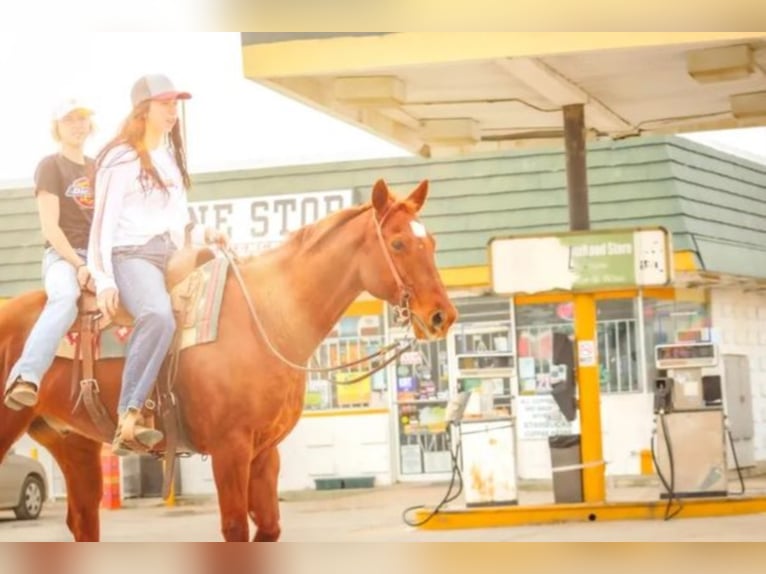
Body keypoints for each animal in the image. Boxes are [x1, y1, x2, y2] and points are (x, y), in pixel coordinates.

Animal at [0, 181, 456, 544]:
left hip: (72, 444)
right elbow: (236, 529)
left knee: (83, 521)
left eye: (432, 242)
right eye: (397, 243)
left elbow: (268, 526)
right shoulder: (229, 449)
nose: (442, 316)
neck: (267, 319)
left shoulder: (264, 452)